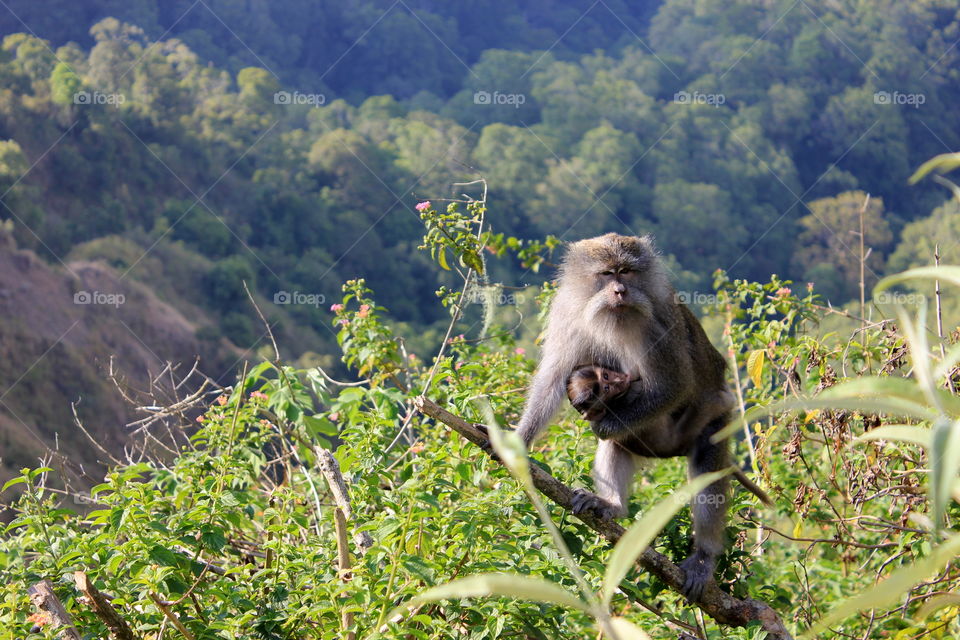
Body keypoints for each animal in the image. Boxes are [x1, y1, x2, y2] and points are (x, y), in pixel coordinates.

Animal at [516, 233, 740, 600]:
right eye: (608, 273)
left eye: (628, 271)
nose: (620, 291)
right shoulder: (568, 314)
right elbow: (553, 377)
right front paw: (517, 441)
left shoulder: (657, 324)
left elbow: (675, 384)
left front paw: (606, 419)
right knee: (616, 447)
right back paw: (612, 505)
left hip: (711, 420)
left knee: (707, 470)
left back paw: (703, 558)